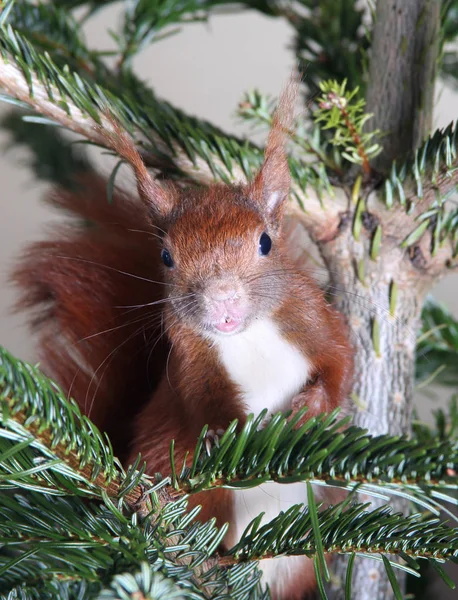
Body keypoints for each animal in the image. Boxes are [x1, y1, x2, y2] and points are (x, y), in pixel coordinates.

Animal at [11, 81, 354, 600]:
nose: (222, 301)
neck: (248, 336)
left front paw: (312, 405)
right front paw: (222, 432)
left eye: (265, 242)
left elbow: (340, 365)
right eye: (167, 256)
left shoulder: (314, 321)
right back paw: (210, 564)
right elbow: (201, 399)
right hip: (198, 496)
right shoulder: (191, 359)